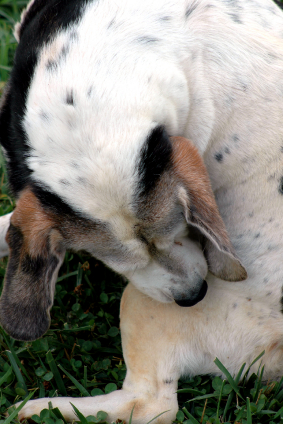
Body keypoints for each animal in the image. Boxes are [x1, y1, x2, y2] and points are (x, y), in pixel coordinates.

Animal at [0, 0, 283, 422]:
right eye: (114, 260)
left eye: (183, 224)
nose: (194, 295)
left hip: (142, 305)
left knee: (151, 405)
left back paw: (39, 408)